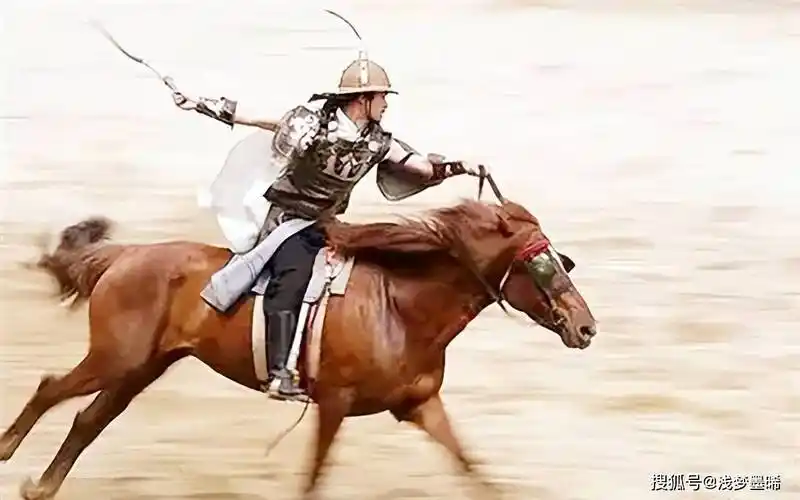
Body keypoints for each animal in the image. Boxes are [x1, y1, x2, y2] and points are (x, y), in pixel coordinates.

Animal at [0, 196, 597, 500]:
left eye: (560, 260)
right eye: (542, 265)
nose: (587, 327)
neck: (399, 306)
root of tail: (123, 255)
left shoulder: (420, 405)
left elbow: (471, 467)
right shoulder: (333, 404)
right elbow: (314, 477)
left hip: (141, 367)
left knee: (87, 420)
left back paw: (41, 487)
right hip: (115, 359)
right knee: (51, 389)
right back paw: (8, 453)